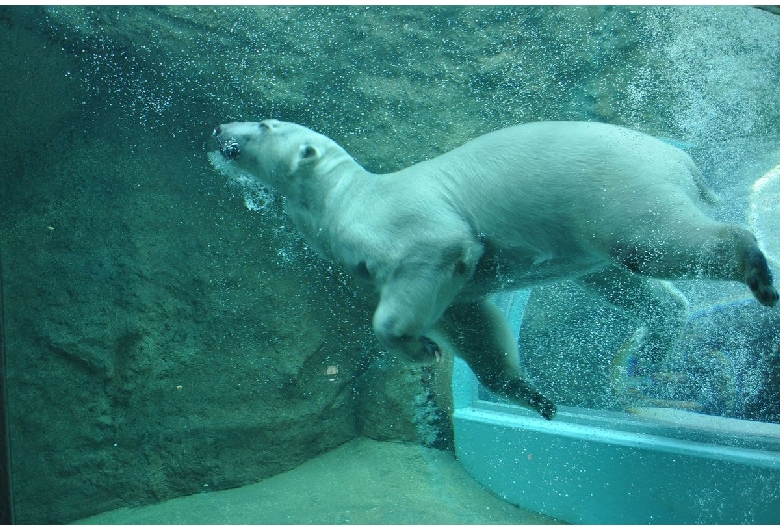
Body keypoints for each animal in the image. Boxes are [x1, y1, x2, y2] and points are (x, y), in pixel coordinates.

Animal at [209, 118, 780, 416]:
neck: (347, 198)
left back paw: (756, 267)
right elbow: (475, 324)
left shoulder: (411, 224)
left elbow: (438, 256)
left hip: (612, 187)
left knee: (655, 243)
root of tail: (684, 160)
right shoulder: (454, 291)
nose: (217, 130)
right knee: (635, 283)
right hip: (594, 233)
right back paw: (658, 341)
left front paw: (419, 349)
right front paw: (532, 395)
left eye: (264, 124)